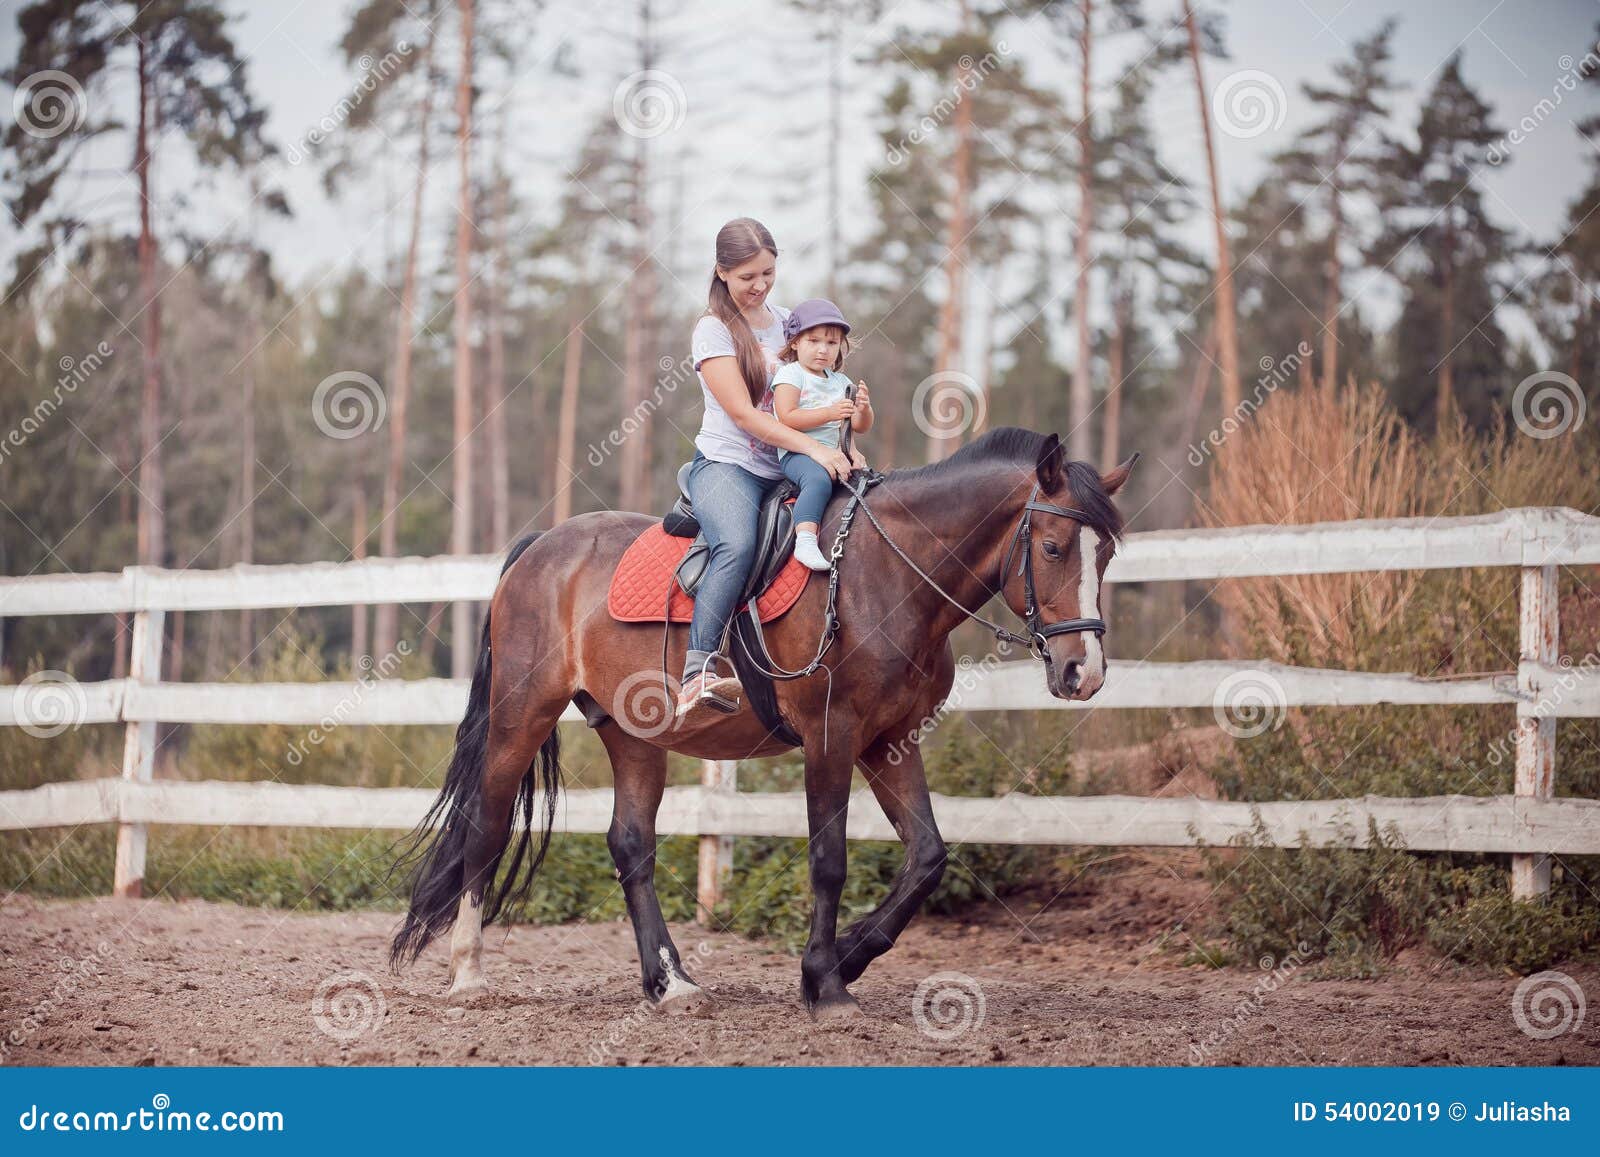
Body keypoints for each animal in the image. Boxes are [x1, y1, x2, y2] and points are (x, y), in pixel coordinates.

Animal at [387, 428, 1139, 1017]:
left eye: (1106, 553)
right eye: (1052, 546)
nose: (1084, 670)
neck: (883, 577)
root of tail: (545, 544)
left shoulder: (889, 742)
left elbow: (927, 857)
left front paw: (851, 955)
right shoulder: (832, 739)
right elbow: (829, 861)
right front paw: (824, 982)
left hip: (633, 737)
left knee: (631, 846)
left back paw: (671, 983)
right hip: (521, 717)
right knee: (486, 826)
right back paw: (469, 974)